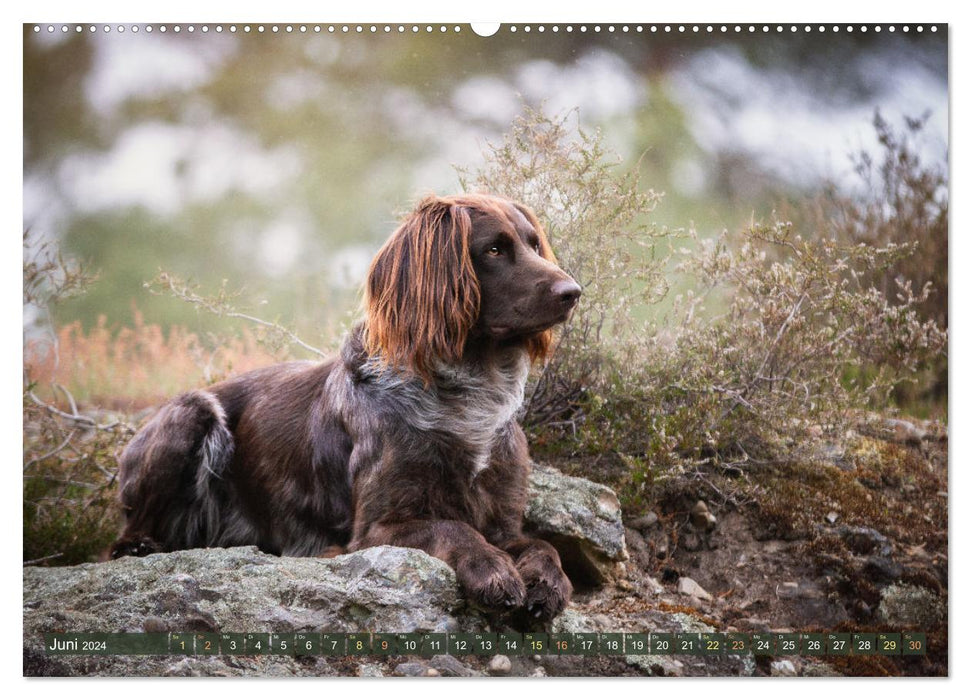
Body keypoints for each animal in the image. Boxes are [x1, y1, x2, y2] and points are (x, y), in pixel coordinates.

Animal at [114, 194, 584, 620]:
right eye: (493, 250)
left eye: (534, 244)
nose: (574, 292)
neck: (469, 397)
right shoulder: (375, 529)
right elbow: (455, 528)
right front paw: (492, 571)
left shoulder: (503, 523)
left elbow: (543, 545)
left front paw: (548, 584)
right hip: (192, 413)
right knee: (123, 539)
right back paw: (141, 545)